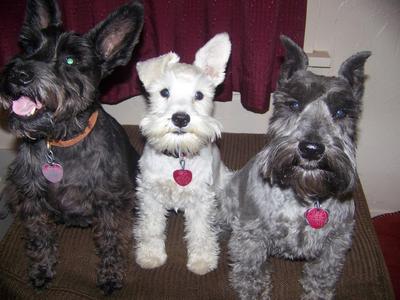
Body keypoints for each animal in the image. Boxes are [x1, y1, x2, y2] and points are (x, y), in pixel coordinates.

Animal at [0, 0, 144, 296]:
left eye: (71, 60)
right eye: (29, 47)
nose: (19, 75)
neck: (60, 142)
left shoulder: (110, 203)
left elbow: (111, 241)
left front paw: (110, 276)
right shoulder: (31, 198)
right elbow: (39, 237)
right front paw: (42, 270)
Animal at [133, 34, 230, 276]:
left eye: (199, 95)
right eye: (164, 92)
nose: (180, 118)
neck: (178, 156)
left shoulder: (202, 200)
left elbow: (201, 233)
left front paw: (202, 261)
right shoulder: (150, 196)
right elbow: (151, 229)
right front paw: (150, 256)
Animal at [220, 35, 370, 300]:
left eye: (341, 112)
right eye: (294, 104)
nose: (311, 149)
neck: (305, 195)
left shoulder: (335, 243)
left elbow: (321, 279)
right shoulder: (251, 238)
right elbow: (251, 276)